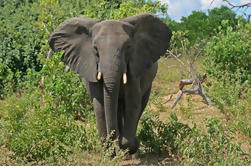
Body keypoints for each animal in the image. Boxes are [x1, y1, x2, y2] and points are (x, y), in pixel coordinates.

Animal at [48, 13, 172, 154]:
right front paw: (109, 151)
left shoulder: (134, 68)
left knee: (140, 104)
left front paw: (128, 145)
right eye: (95, 49)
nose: (113, 138)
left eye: (128, 47)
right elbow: (100, 104)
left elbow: (133, 102)